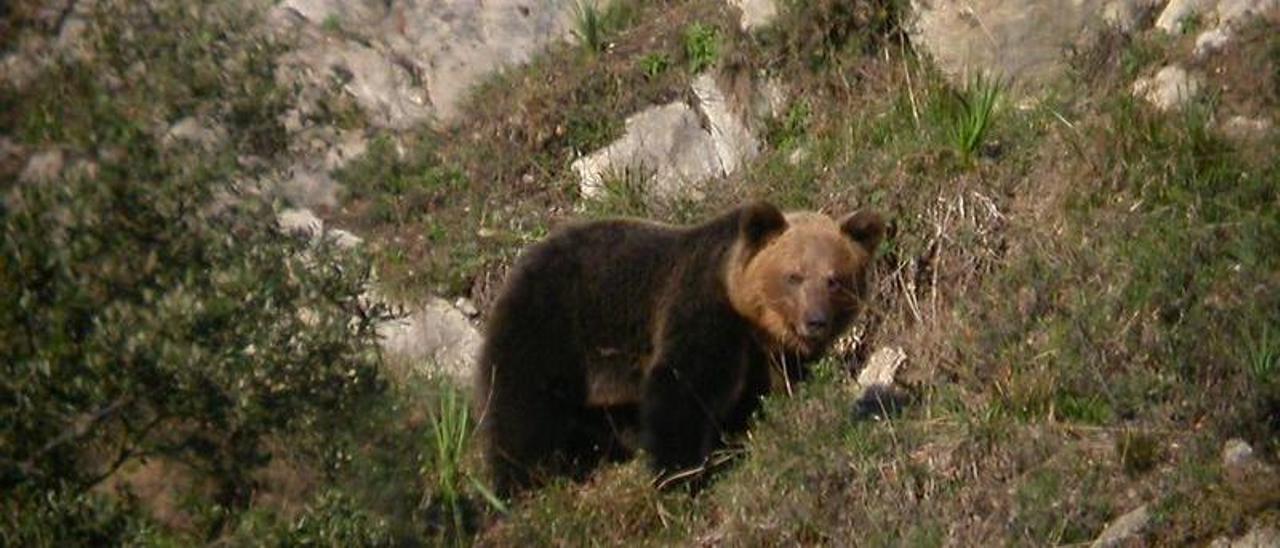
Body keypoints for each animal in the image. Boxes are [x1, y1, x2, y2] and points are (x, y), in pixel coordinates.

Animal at [476, 199, 885, 496]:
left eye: (835, 279)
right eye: (794, 276)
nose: (815, 321)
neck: (750, 317)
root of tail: (523, 259)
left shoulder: (772, 354)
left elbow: (771, 391)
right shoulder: (701, 307)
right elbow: (682, 386)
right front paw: (678, 475)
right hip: (554, 326)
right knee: (521, 408)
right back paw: (521, 483)